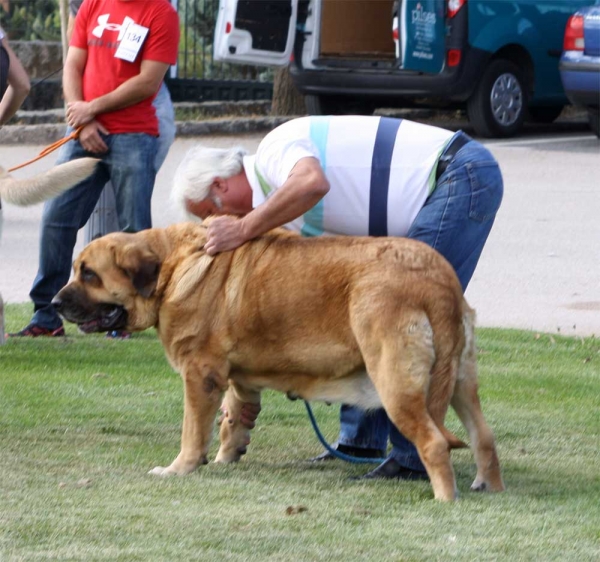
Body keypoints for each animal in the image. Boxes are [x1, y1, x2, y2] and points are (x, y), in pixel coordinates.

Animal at [51, 219, 504, 498]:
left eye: (88, 274)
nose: (54, 302)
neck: (172, 267)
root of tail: (438, 280)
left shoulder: (199, 376)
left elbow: (192, 431)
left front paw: (180, 468)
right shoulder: (236, 378)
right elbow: (233, 419)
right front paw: (226, 457)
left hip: (396, 383)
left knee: (433, 442)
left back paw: (444, 498)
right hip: (461, 379)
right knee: (483, 436)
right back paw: (489, 487)